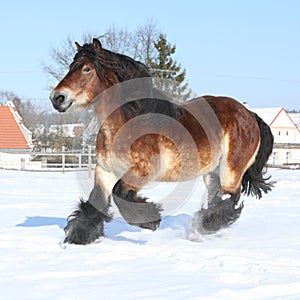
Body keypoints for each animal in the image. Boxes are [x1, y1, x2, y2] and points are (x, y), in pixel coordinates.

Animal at [49, 38, 274, 244]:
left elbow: (120, 193)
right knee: (217, 199)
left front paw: (152, 221)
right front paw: (79, 238)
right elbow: (96, 201)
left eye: (86, 68)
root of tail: (249, 114)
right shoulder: (105, 170)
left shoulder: (144, 171)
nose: (57, 98)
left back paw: (199, 229)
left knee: (230, 197)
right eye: (70, 67)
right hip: (212, 173)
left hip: (231, 170)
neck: (128, 121)